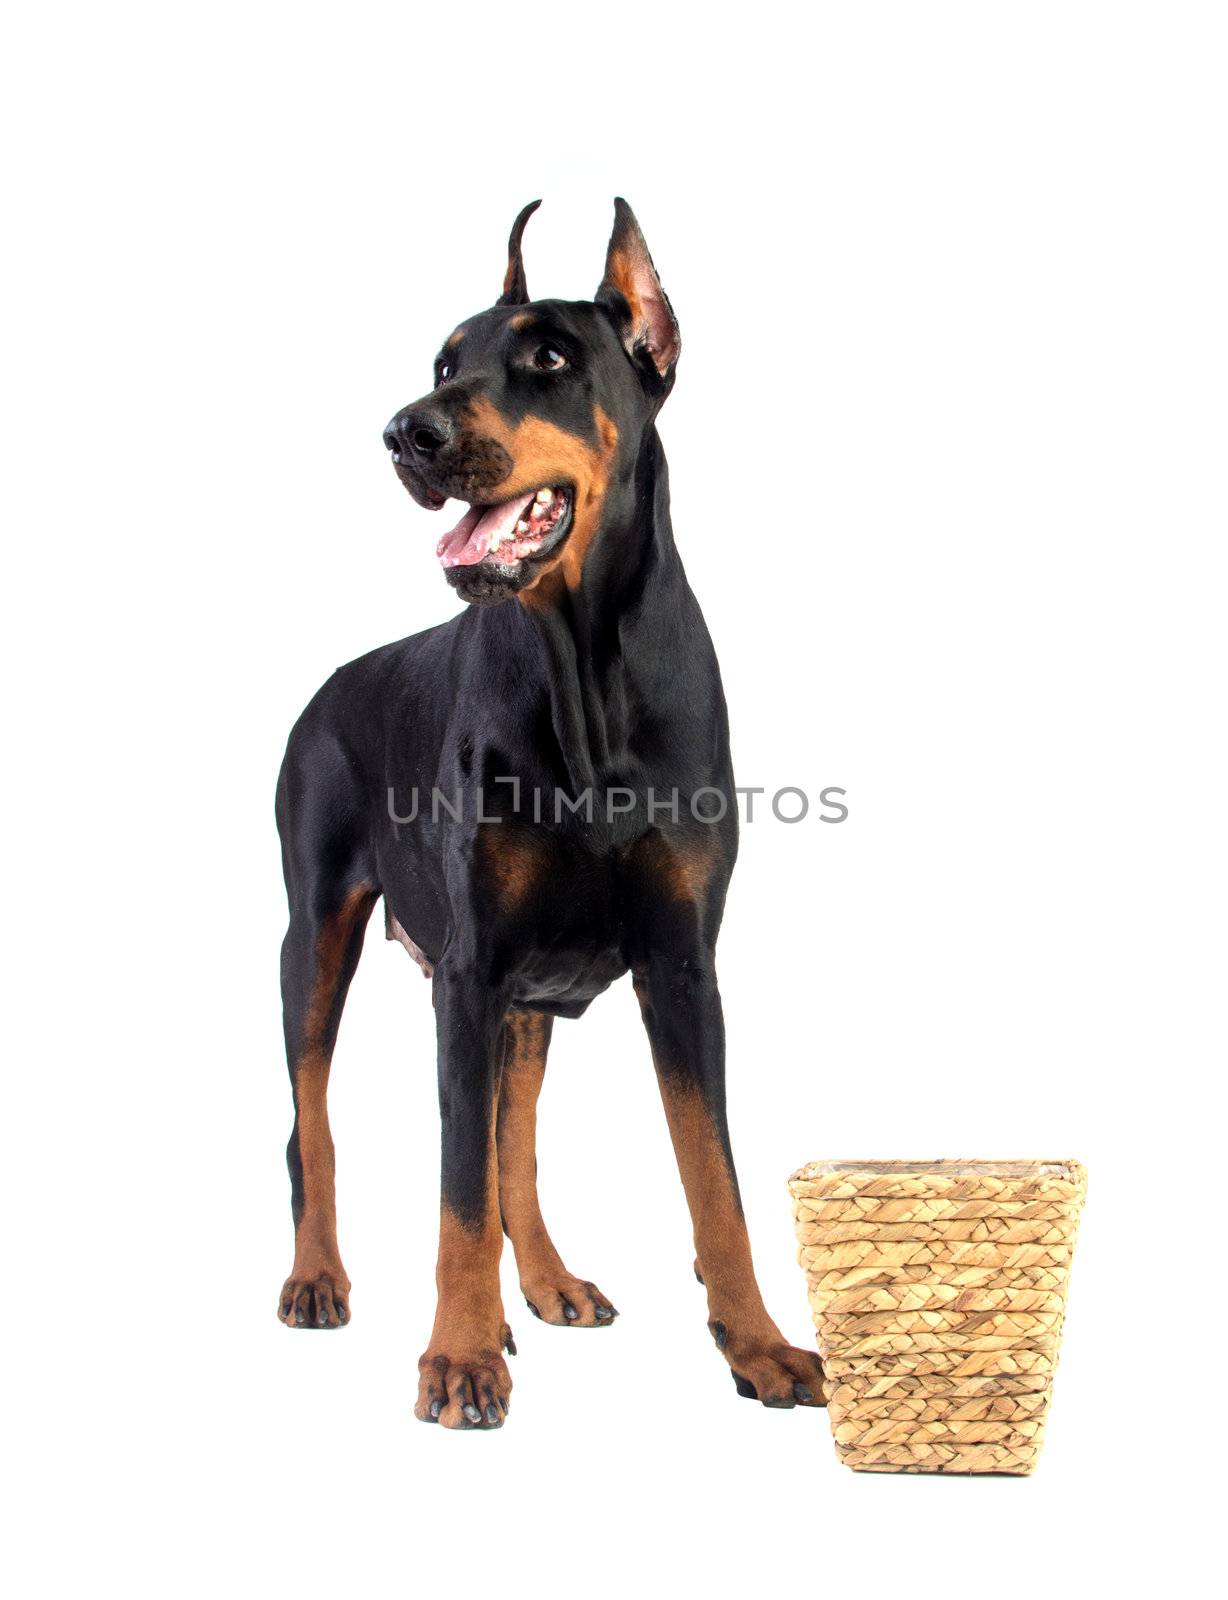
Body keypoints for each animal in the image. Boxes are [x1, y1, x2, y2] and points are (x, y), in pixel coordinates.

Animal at [273, 193, 818, 1433]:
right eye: (442, 361)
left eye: (553, 360)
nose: (405, 432)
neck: (586, 676)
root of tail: (327, 685)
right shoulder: (468, 970)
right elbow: (455, 1189)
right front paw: (459, 1357)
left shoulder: (680, 964)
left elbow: (711, 1177)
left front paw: (759, 1344)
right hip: (314, 936)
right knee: (312, 1124)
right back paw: (320, 1277)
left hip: (525, 997)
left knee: (512, 1137)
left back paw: (549, 1282)